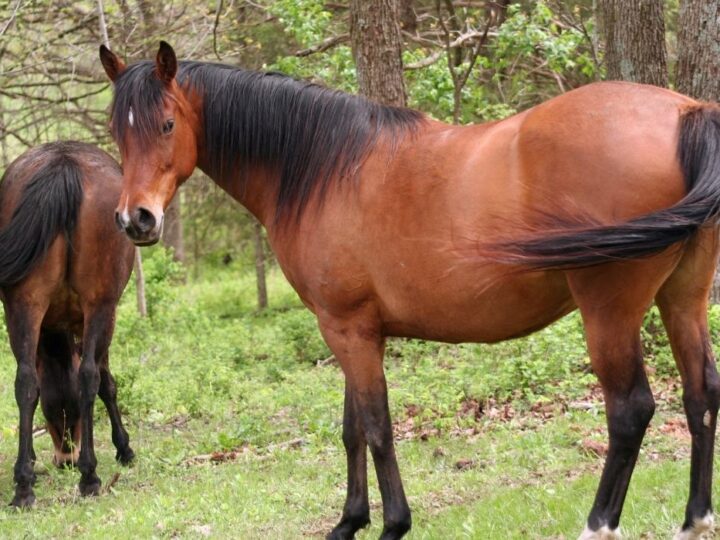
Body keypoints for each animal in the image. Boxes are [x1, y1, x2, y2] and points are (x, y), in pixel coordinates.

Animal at [0, 141, 135, 507]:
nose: (66, 458)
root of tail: (63, 165)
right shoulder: (102, 317)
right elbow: (106, 383)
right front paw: (124, 448)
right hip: (99, 306)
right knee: (89, 377)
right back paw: (89, 476)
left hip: (23, 305)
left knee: (25, 383)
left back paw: (24, 487)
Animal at [100, 41, 720, 540]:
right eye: (116, 131)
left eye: (166, 125)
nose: (135, 220)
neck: (323, 168)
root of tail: (687, 112)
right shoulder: (350, 329)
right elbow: (351, 428)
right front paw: (349, 521)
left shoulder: (348, 328)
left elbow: (376, 427)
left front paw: (392, 524)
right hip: (683, 299)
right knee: (701, 395)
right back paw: (695, 520)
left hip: (609, 311)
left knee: (630, 410)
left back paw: (598, 525)